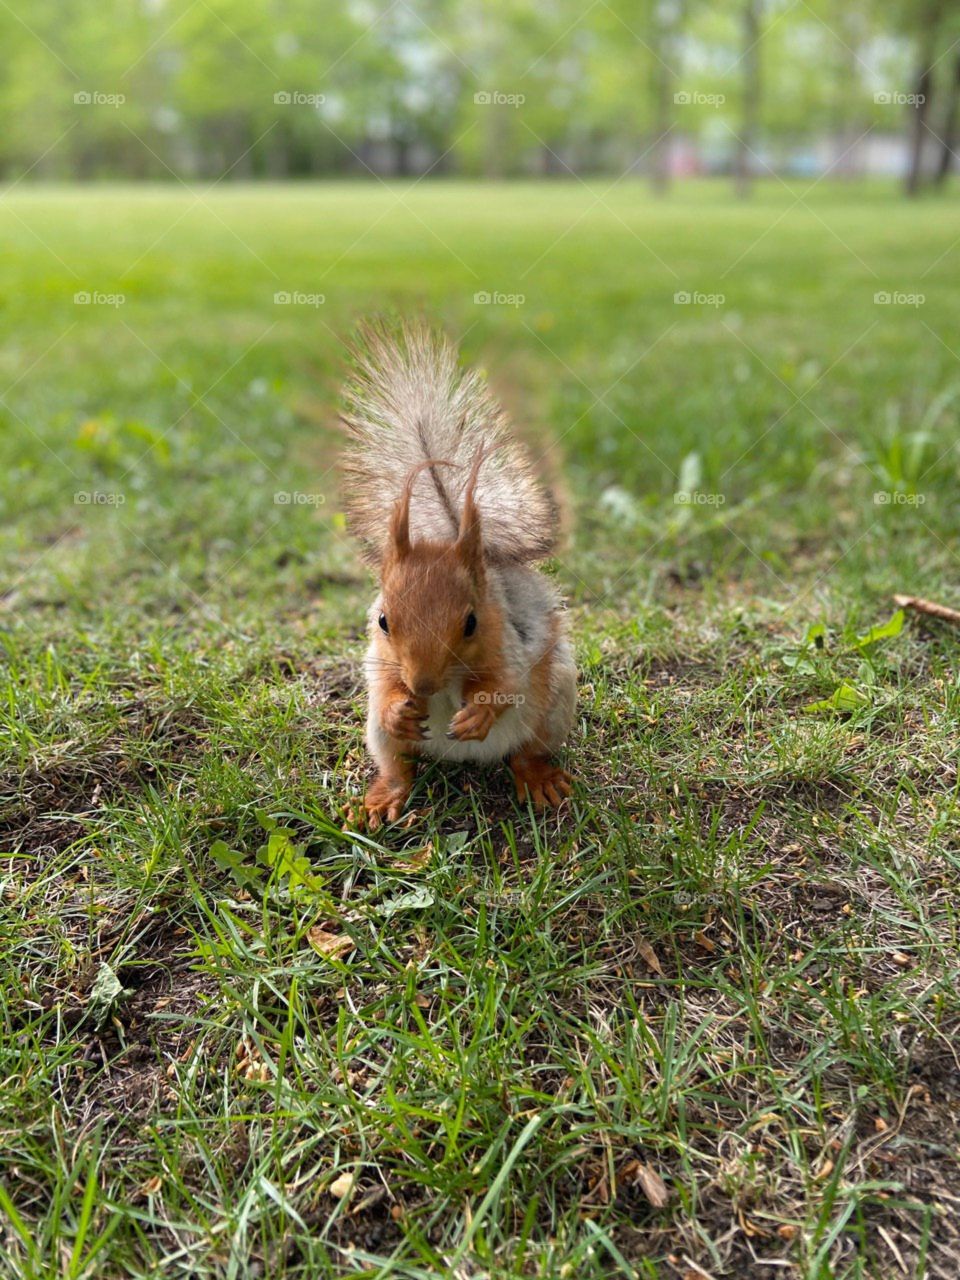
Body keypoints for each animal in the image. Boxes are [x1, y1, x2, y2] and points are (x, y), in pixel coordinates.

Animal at [341, 322, 577, 828]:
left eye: (471, 623)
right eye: (383, 621)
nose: (423, 686)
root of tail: (462, 761)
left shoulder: (509, 643)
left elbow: (506, 685)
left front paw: (478, 714)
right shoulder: (379, 659)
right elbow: (384, 687)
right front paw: (400, 708)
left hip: (553, 705)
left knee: (526, 752)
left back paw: (539, 778)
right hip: (378, 737)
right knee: (398, 765)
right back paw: (382, 798)